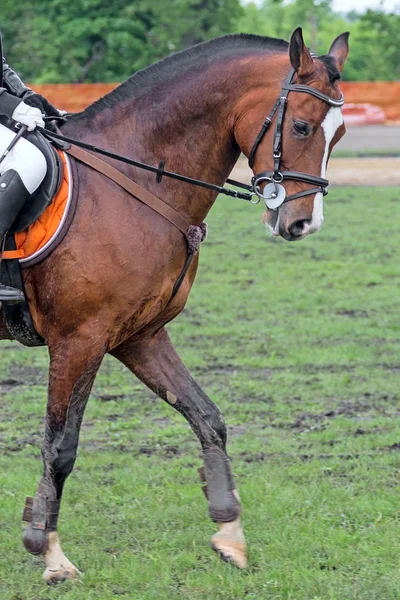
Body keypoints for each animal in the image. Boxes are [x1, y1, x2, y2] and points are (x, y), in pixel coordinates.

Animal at [0, 27, 346, 580]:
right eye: (301, 125)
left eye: (338, 135)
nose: (301, 224)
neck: (136, 180)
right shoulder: (79, 340)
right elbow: (60, 445)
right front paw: (48, 550)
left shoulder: (138, 335)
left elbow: (208, 416)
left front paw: (230, 531)